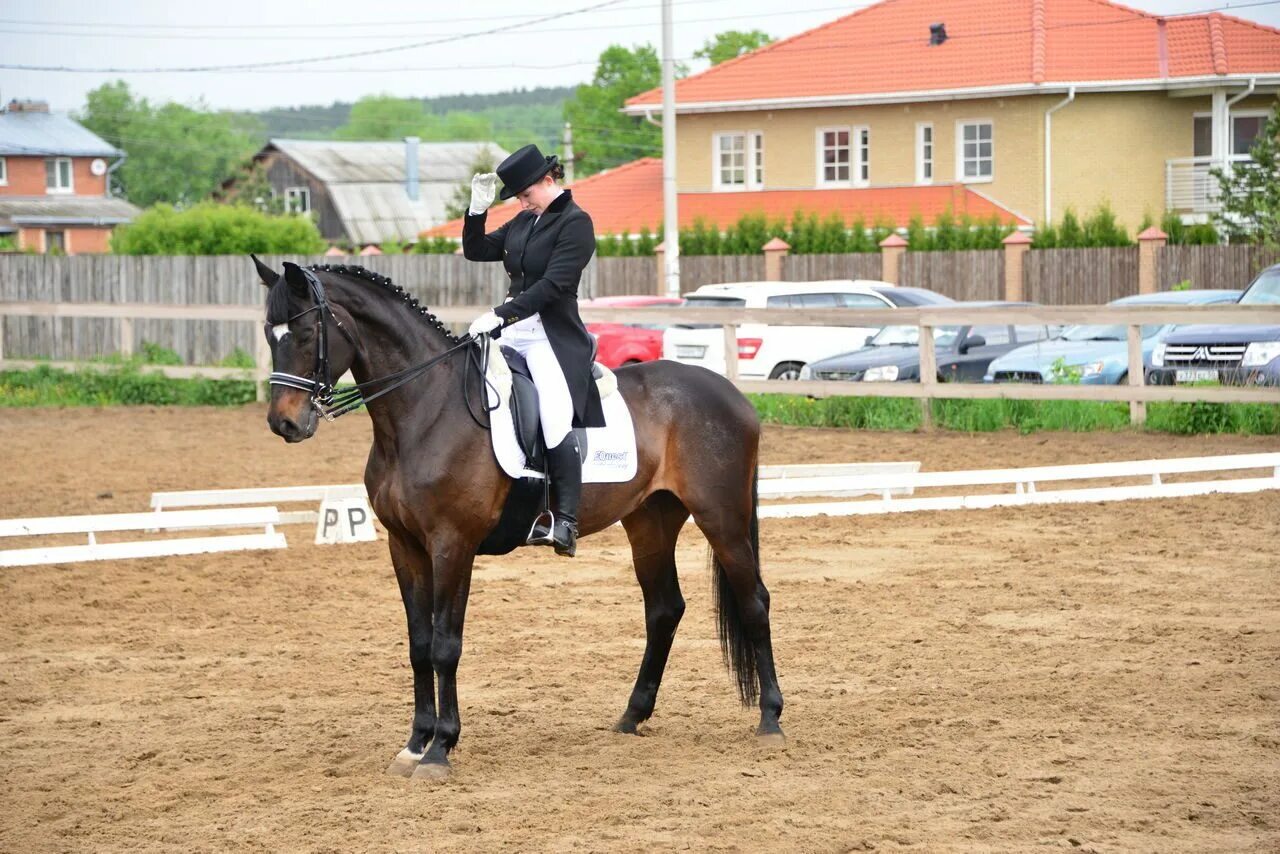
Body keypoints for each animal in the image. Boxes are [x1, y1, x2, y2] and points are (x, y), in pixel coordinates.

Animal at [249, 256, 778, 783]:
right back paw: (631, 716)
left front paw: (440, 749)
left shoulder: (452, 544)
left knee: (754, 601)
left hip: (722, 518)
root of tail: (732, 394)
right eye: (270, 333)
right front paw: (414, 744)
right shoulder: (405, 545)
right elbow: (419, 643)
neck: (425, 408)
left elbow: (445, 644)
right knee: (664, 609)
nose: (284, 424)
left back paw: (770, 719)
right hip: (650, 522)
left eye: (305, 331)